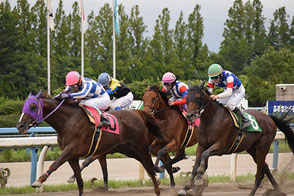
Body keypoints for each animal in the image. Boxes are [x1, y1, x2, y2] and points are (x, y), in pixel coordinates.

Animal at [16, 91, 164, 195]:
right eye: (24, 106)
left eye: (33, 106)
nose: (20, 126)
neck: (68, 120)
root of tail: (138, 113)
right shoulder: (73, 156)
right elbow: (80, 180)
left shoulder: (71, 148)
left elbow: (55, 164)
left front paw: (38, 181)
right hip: (128, 150)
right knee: (148, 167)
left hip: (141, 148)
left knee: (150, 167)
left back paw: (157, 188)